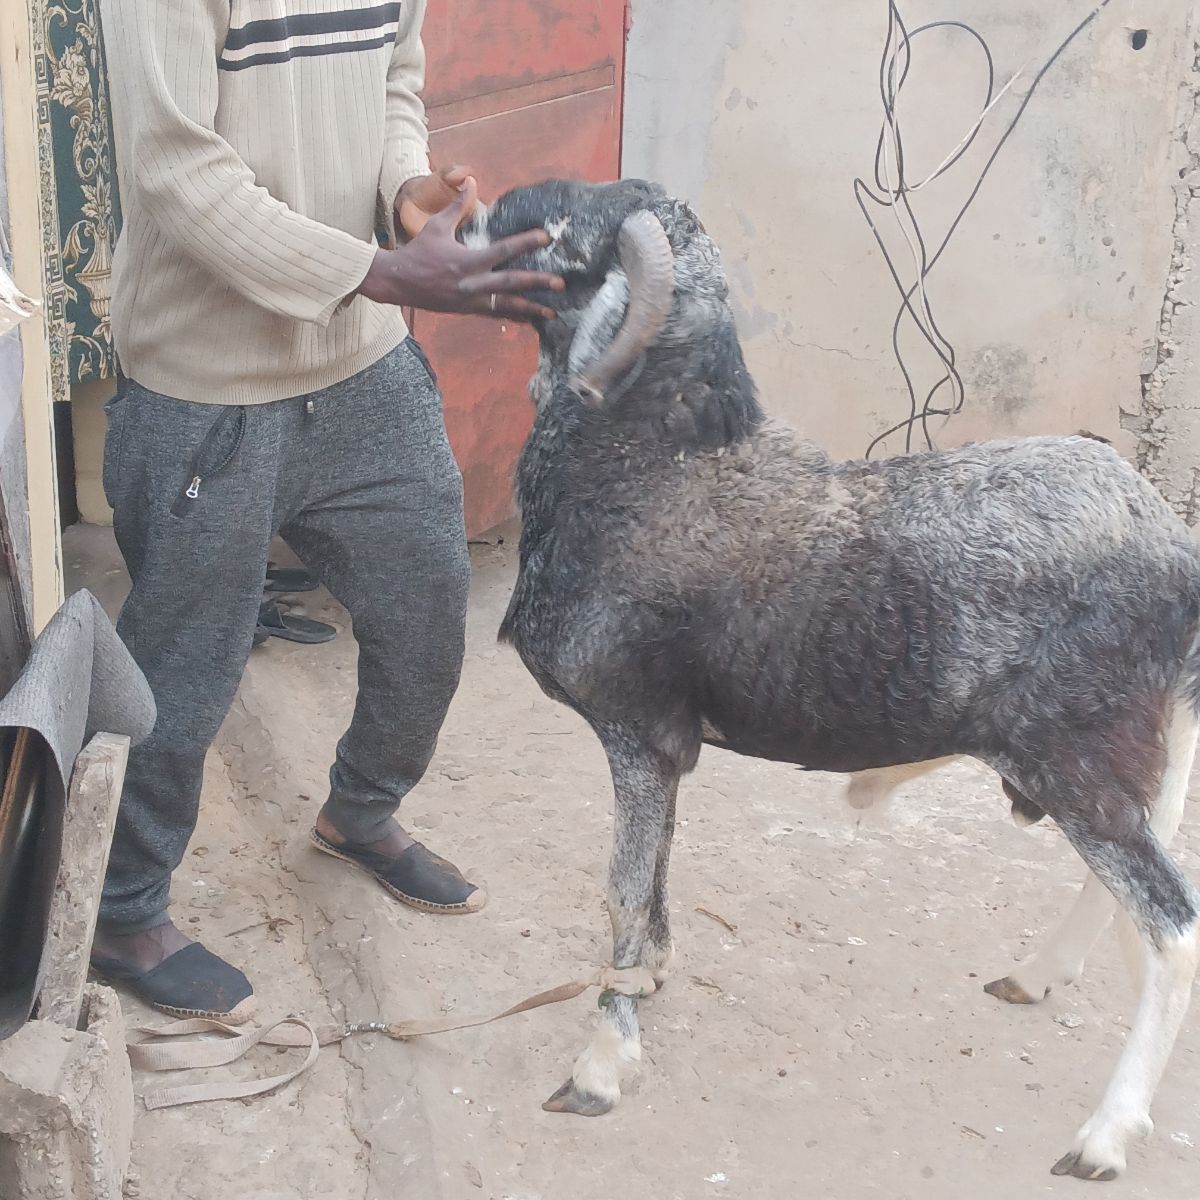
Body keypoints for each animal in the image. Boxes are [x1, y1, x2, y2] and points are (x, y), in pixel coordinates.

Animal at [461, 179, 1200, 1181]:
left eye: (554, 230)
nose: (455, 221)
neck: (655, 465)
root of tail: (1174, 551)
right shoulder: (669, 750)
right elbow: (655, 877)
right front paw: (650, 980)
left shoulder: (635, 731)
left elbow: (622, 890)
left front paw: (602, 1067)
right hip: (1116, 763)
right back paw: (1037, 978)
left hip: (1078, 759)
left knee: (1173, 930)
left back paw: (1105, 1137)